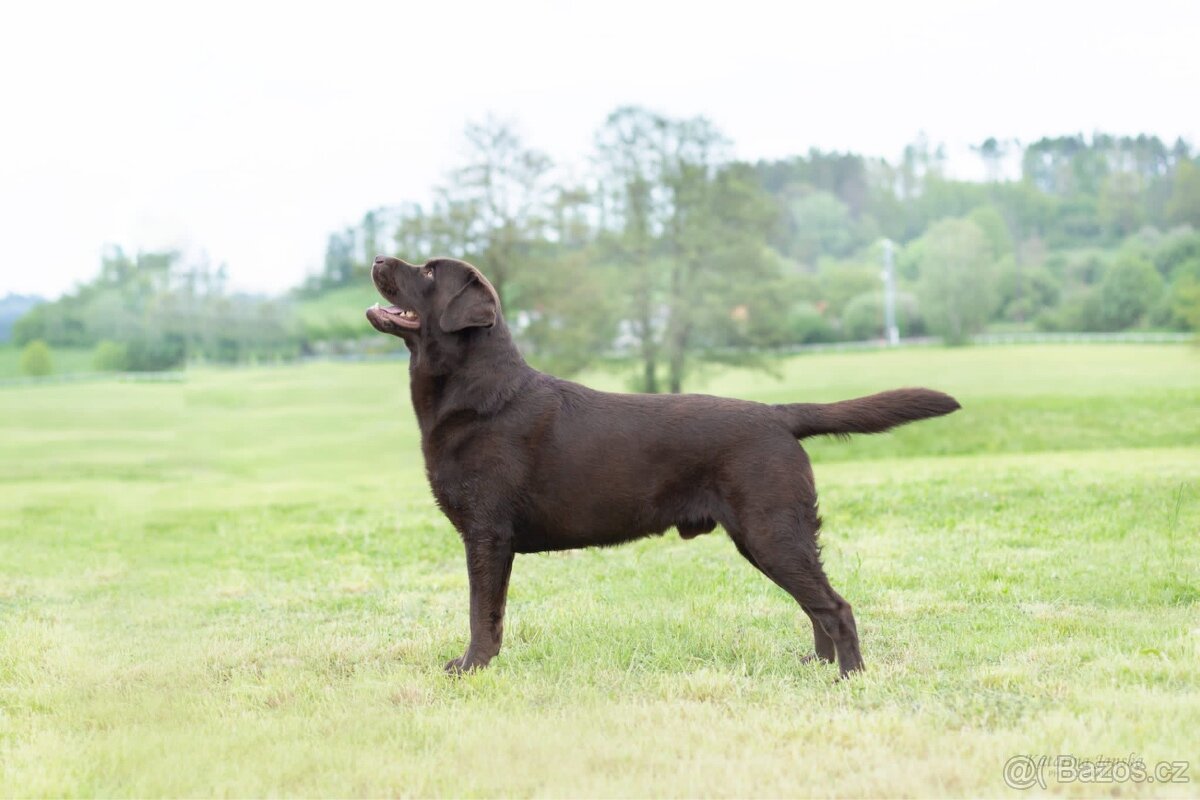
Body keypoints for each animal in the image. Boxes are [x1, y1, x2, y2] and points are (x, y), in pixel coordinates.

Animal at [369, 257, 960, 676]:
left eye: (427, 271)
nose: (376, 257)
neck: (476, 394)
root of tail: (778, 414)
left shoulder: (488, 535)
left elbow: (482, 612)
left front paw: (472, 668)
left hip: (771, 531)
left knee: (835, 606)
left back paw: (850, 677)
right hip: (766, 537)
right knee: (815, 605)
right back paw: (818, 666)